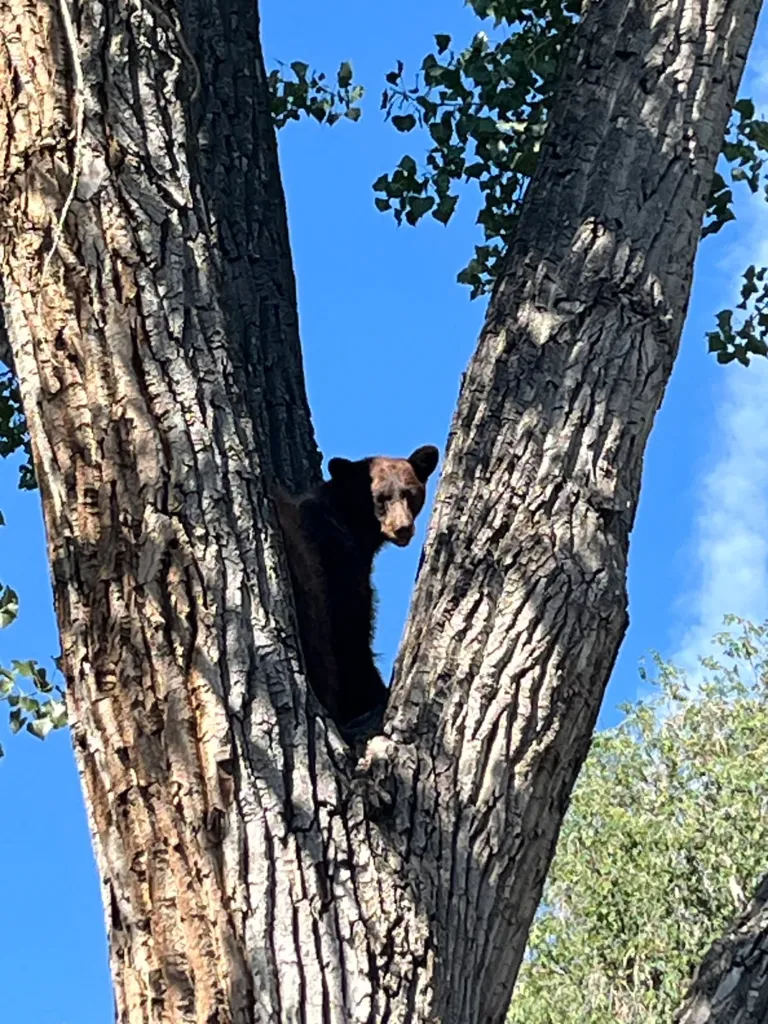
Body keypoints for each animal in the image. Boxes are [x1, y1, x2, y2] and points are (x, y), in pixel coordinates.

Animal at [275, 445, 440, 733]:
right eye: (380, 498)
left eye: (409, 492)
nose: (402, 528)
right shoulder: (341, 561)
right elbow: (354, 633)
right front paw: (375, 694)